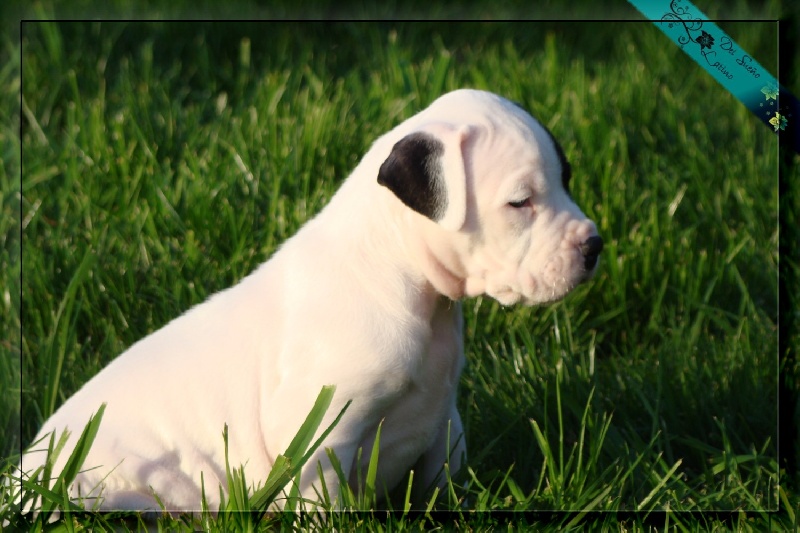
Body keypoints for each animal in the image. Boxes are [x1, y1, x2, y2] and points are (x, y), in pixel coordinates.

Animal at [21, 89, 603, 513]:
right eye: (520, 202)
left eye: (567, 178)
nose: (594, 245)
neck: (404, 282)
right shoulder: (320, 440)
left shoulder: (443, 419)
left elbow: (446, 477)